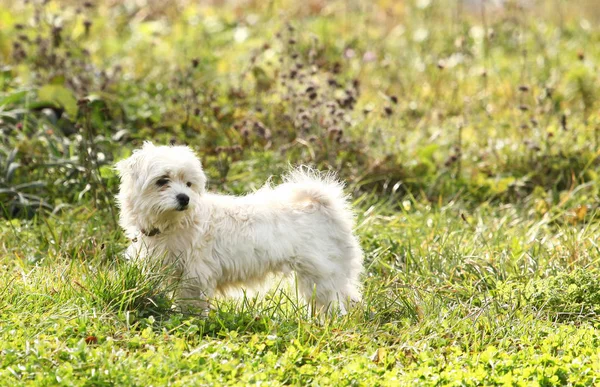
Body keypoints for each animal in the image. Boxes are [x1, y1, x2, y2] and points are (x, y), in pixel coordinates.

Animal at [115, 142, 364, 316]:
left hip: (321, 275)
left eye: (188, 184)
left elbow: (190, 302)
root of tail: (321, 205)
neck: (175, 223)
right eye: (162, 181)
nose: (185, 198)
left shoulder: (194, 275)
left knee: (332, 302)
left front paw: (188, 319)